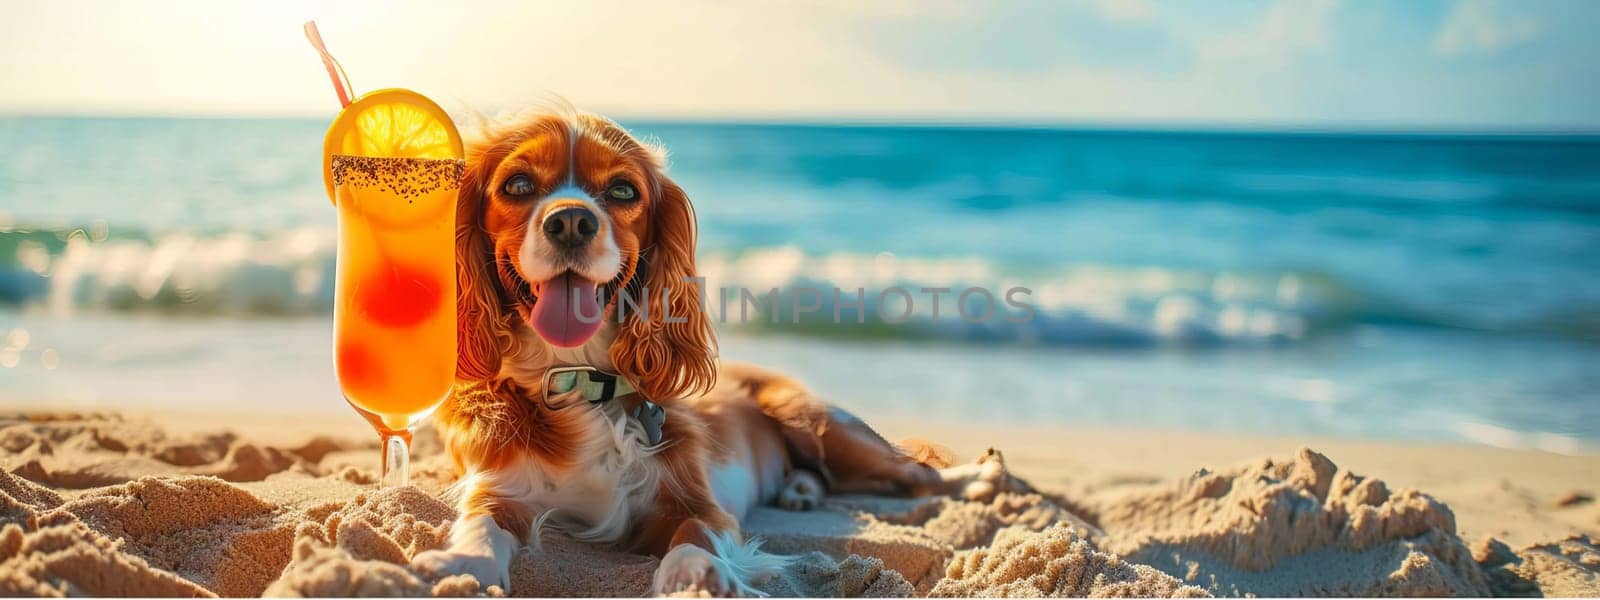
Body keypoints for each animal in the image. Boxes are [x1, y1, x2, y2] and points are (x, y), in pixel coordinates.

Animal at [412, 108, 1011, 598]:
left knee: (913, 472)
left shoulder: (700, 504)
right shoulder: (500, 484)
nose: (572, 221)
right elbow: (481, 521)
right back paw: (800, 491)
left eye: (623, 192)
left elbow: (695, 532)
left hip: (820, 424)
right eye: (517, 184)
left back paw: (977, 477)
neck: (580, 376)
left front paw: (694, 575)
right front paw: (462, 563)